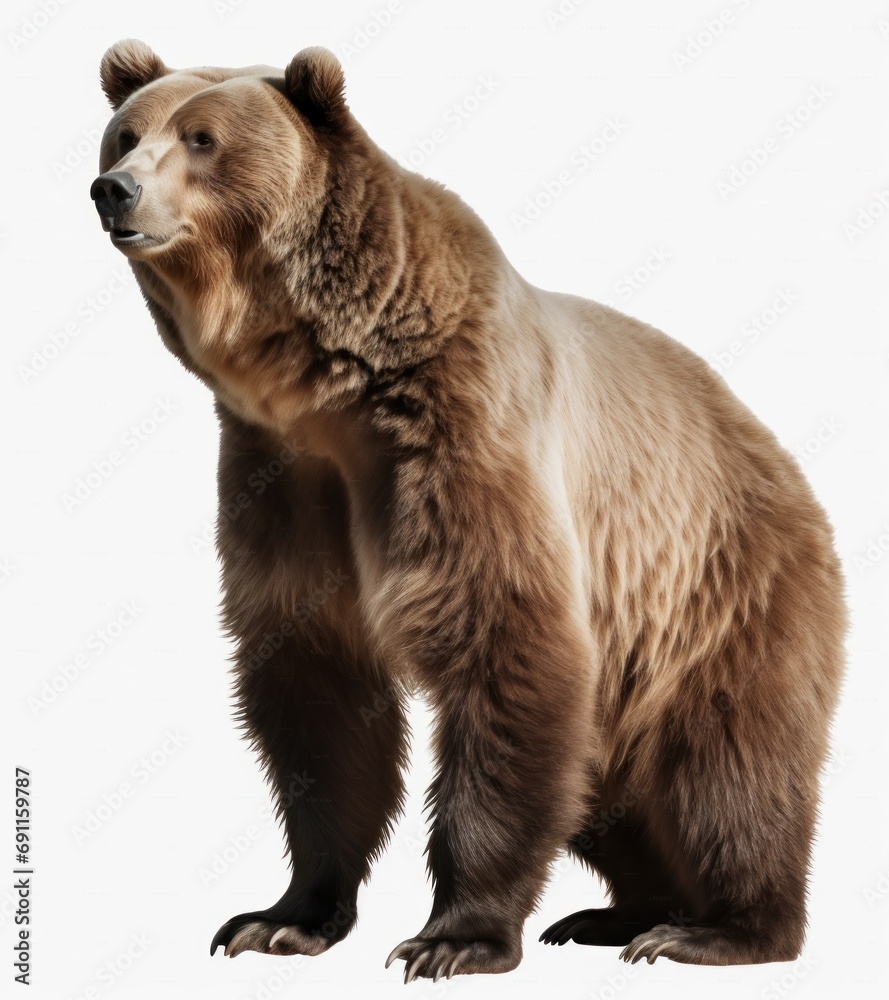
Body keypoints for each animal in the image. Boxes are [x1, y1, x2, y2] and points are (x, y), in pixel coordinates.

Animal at [90, 39, 846, 980]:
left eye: (202, 138)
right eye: (125, 133)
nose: (115, 190)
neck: (330, 390)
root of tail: (782, 461)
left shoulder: (460, 440)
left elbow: (505, 652)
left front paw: (451, 938)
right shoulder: (283, 481)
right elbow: (315, 697)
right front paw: (280, 919)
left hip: (720, 590)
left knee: (728, 765)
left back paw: (713, 929)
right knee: (611, 787)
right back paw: (612, 913)